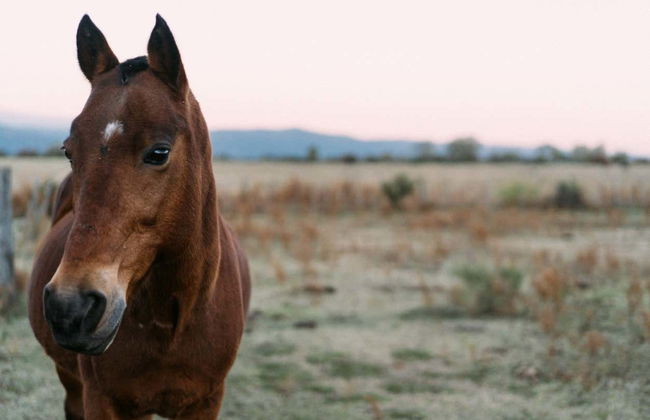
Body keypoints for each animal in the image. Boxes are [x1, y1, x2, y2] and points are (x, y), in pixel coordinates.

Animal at [27, 14, 251, 419]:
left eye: (159, 152)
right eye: (68, 151)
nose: (70, 307)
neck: (172, 322)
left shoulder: (206, 401)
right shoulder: (101, 399)